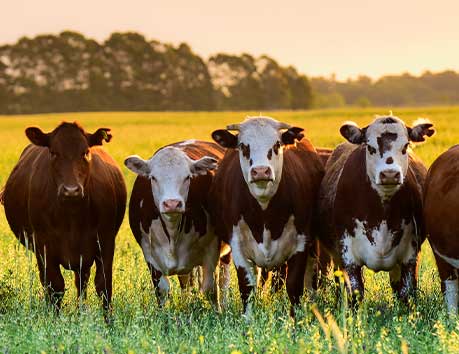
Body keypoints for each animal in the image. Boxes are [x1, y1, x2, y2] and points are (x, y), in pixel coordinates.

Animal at [2, 121, 127, 312]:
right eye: (53, 152)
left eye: (85, 152)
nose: (71, 190)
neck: (72, 218)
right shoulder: (43, 246)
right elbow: (55, 286)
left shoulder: (105, 241)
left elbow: (104, 285)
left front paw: (109, 319)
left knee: (82, 281)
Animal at [125, 140, 230, 308]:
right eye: (153, 177)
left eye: (187, 177)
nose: (172, 203)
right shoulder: (149, 254)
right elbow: (162, 290)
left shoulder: (212, 249)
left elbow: (211, 288)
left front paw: (218, 312)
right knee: (187, 281)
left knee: (224, 280)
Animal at [210, 116, 326, 316]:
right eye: (243, 146)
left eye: (277, 144)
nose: (261, 171)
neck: (265, 213)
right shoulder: (238, 245)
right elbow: (247, 287)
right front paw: (248, 318)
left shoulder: (301, 243)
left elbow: (294, 286)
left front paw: (296, 319)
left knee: (311, 277)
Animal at [320, 115, 434, 302]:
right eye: (370, 147)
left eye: (405, 146)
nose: (389, 174)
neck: (381, 214)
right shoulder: (348, 255)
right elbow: (355, 293)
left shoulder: (410, 255)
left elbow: (406, 292)